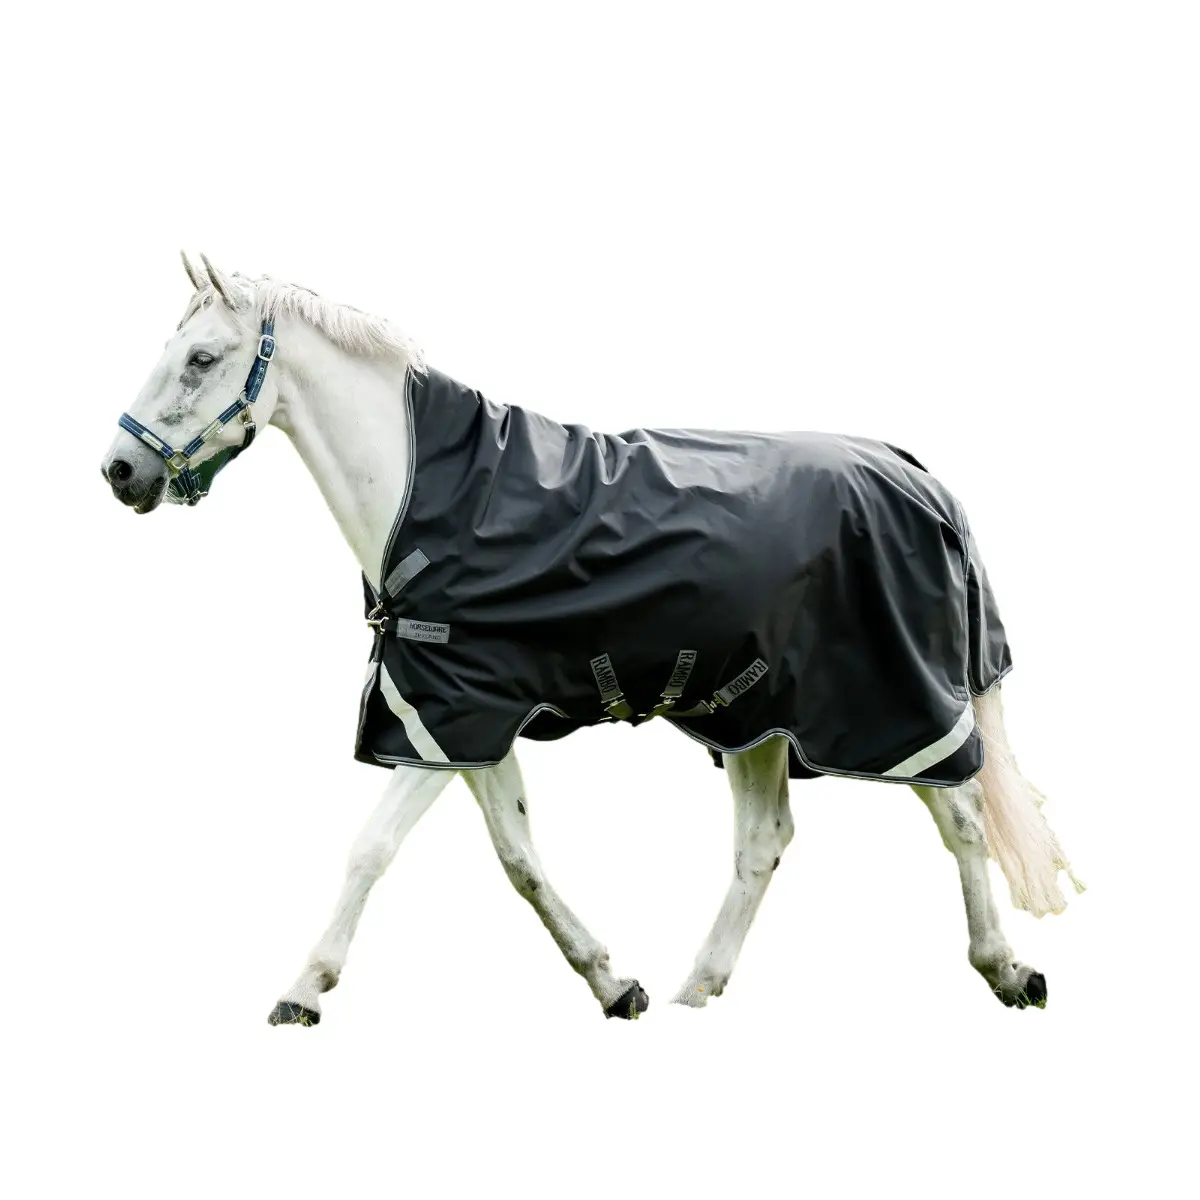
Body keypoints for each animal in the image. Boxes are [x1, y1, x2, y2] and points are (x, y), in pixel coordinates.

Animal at [100, 252, 1083, 1025]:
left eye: (201, 359)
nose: (120, 471)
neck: (440, 499)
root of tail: (916, 476)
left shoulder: (449, 719)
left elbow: (372, 848)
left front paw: (302, 990)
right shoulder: (462, 720)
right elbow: (520, 858)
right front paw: (615, 985)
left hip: (892, 708)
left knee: (961, 816)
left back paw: (1009, 971)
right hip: (757, 714)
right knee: (764, 842)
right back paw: (694, 992)